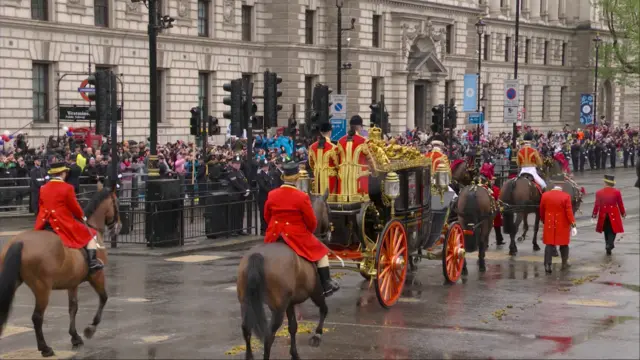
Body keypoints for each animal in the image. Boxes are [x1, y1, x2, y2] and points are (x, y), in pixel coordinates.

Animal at [0, 188, 119, 358]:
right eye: (117, 203)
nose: (117, 226)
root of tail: (19, 242)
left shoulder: (73, 283)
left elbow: (73, 307)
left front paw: (75, 337)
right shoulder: (97, 276)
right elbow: (103, 298)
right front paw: (90, 329)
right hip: (42, 288)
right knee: (37, 317)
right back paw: (45, 348)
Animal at [238, 190, 332, 358]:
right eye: (329, 209)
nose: (329, 235)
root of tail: (257, 256)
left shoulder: (291, 303)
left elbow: (293, 327)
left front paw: (294, 353)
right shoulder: (316, 292)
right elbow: (324, 309)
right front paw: (317, 335)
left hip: (246, 303)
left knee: (246, 330)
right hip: (278, 308)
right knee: (269, 336)